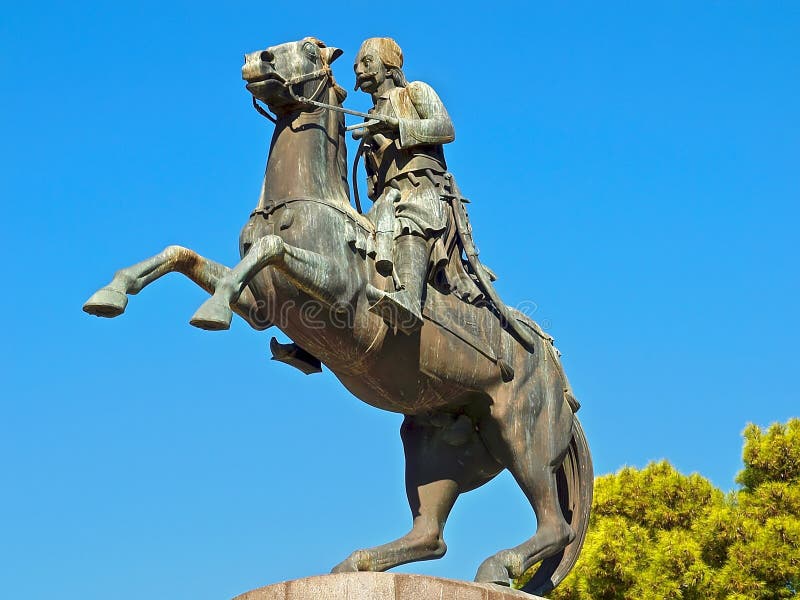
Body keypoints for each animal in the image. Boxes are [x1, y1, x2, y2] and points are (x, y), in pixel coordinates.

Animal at [81, 37, 592, 596]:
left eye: (308, 49)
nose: (256, 60)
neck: (300, 203)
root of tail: (558, 377)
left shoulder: (337, 294)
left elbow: (268, 248)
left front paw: (210, 309)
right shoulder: (260, 309)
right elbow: (182, 254)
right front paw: (112, 293)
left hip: (520, 434)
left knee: (556, 524)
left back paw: (498, 567)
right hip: (432, 444)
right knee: (431, 534)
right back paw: (361, 562)